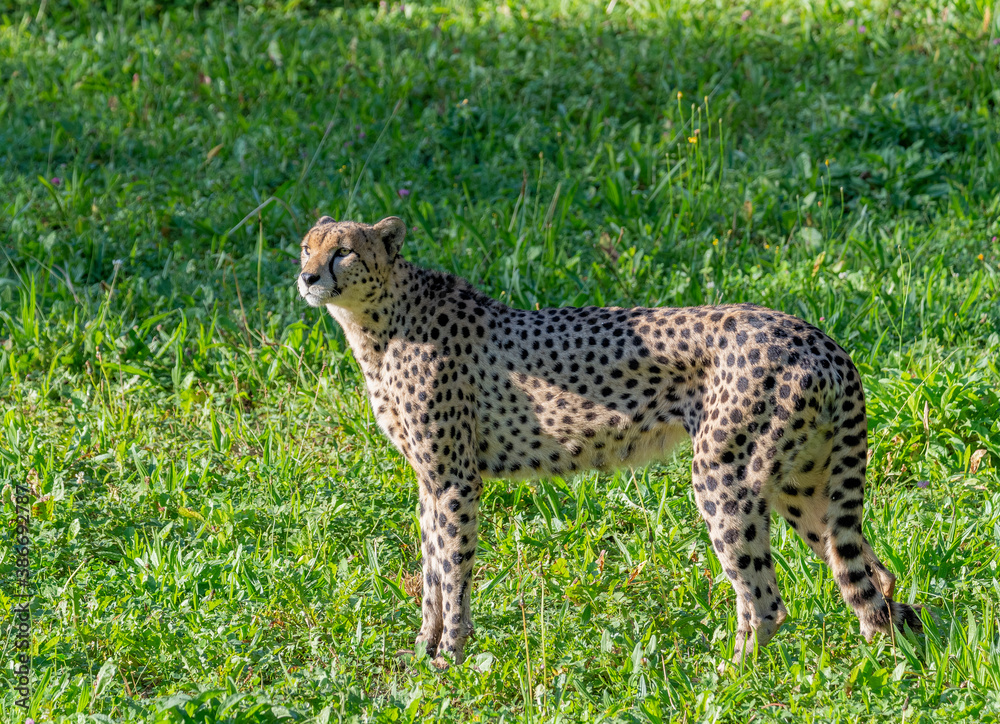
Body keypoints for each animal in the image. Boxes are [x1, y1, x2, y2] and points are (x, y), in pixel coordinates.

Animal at [297, 214, 925, 667]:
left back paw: (730, 676)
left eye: (344, 251)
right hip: (801, 485)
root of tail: (818, 336)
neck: (380, 322)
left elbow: (451, 570)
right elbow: (431, 570)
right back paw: (886, 652)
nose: (307, 278)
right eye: (305, 248)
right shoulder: (430, 481)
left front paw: (450, 656)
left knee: (766, 600)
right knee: (870, 575)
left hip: (725, 476)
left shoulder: (454, 480)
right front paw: (422, 651)